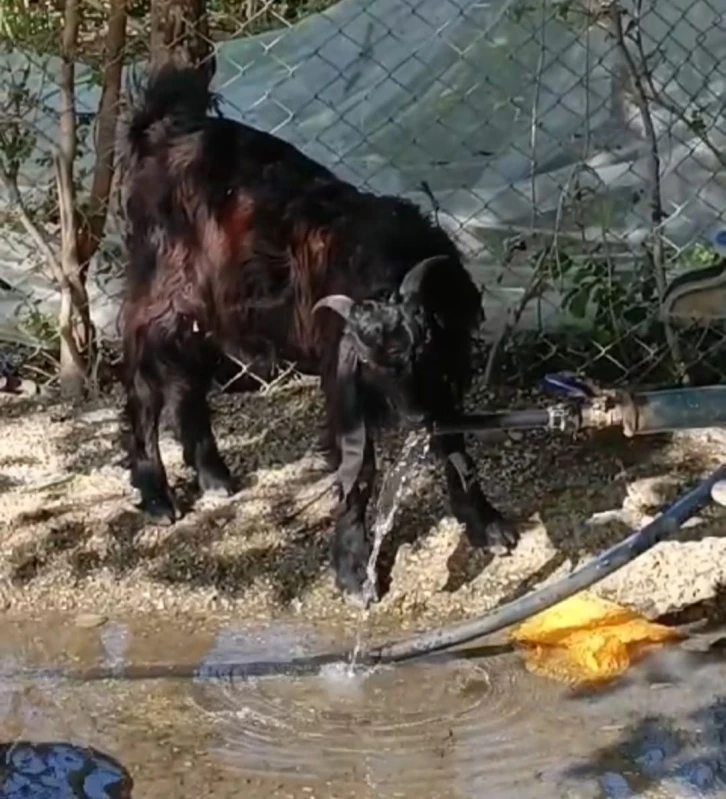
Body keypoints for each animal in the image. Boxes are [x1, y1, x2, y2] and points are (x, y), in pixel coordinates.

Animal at [119, 65, 516, 604]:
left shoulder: (442, 377)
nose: (414, 419)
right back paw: (157, 495)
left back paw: (214, 476)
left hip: (206, 310)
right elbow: (357, 467)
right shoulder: (342, 377)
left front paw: (487, 526)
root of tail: (163, 133)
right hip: (160, 296)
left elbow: (455, 445)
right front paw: (354, 573)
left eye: (425, 346)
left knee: (187, 385)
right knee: (144, 385)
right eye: (369, 362)